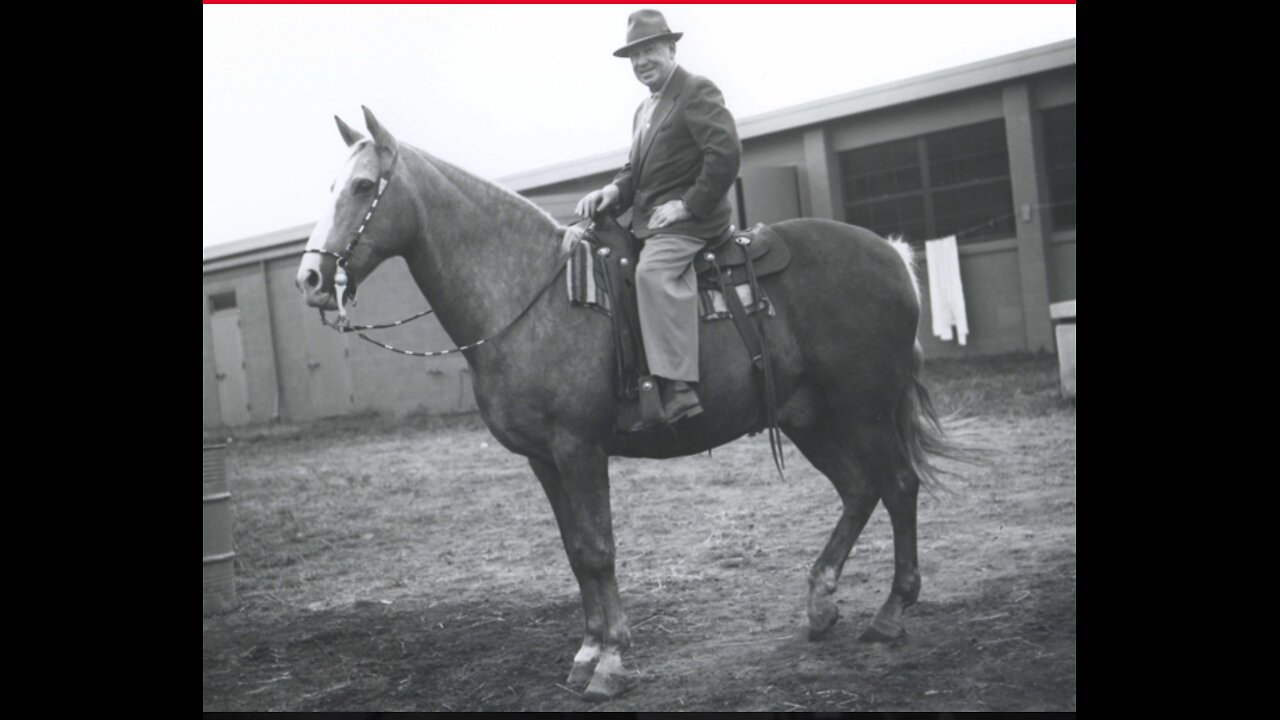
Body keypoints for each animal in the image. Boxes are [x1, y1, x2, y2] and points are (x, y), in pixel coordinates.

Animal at [296, 109, 962, 696]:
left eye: (362, 187)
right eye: (329, 187)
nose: (310, 279)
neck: (534, 294)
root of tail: (891, 254)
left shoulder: (579, 448)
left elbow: (598, 548)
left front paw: (611, 661)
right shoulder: (544, 459)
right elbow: (575, 552)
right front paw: (588, 650)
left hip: (864, 409)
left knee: (898, 485)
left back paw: (891, 613)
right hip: (811, 417)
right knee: (860, 488)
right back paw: (821, 604)